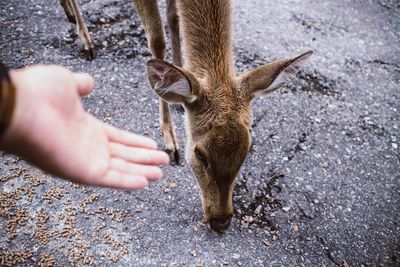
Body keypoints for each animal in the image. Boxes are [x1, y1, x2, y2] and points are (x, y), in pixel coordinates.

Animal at [60, 0, 312, 232]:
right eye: (200, 154)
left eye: (248, 149)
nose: (221, 221)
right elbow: (156, 39)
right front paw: (170, 142)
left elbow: (174, 18)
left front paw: (182, 73)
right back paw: (86, 42)